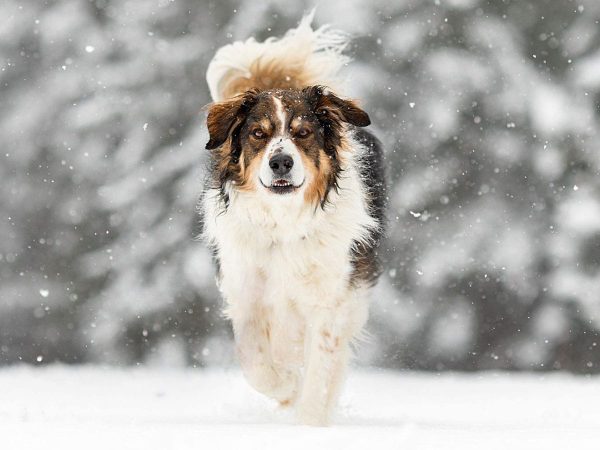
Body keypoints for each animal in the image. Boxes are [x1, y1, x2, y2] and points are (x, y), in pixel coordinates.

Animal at [200, 14, 384, 426]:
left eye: (303, 133)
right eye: (258, 133)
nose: (280, 162)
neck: (282, 224)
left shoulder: (329, 301)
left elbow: (319, 372)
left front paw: (310, 422)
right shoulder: (247, 289)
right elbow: (254, 358)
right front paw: (285, 388)